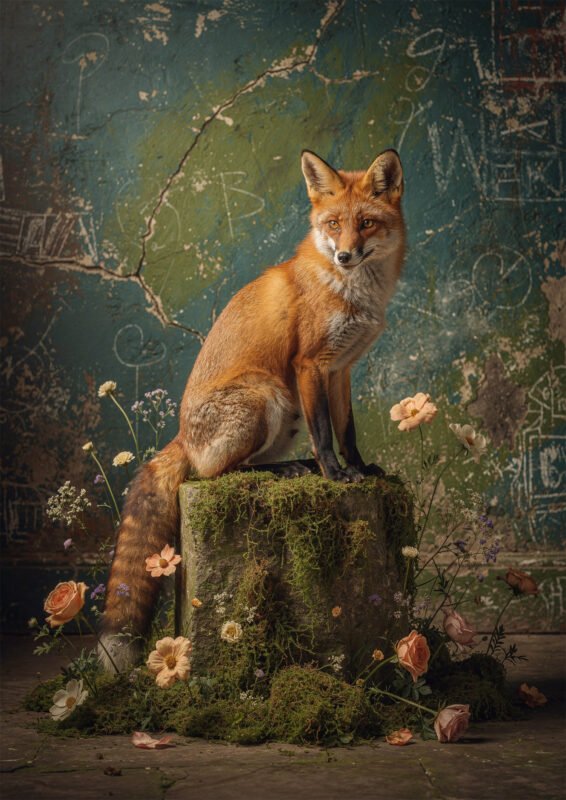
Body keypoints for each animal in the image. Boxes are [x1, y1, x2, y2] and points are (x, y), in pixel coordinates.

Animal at [99, 148, 406, 672]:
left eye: (366, 223)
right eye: (333, 224)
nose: (344, 255)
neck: (350, 289)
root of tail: (181, 436)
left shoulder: (341, 370)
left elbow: (347, 431)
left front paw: (362, 469)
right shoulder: (310, 365)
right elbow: (325, 434)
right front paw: (334, 476)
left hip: (283, 415)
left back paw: (292, 467)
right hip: (267, 396)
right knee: (216, 473)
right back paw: (286, 471)